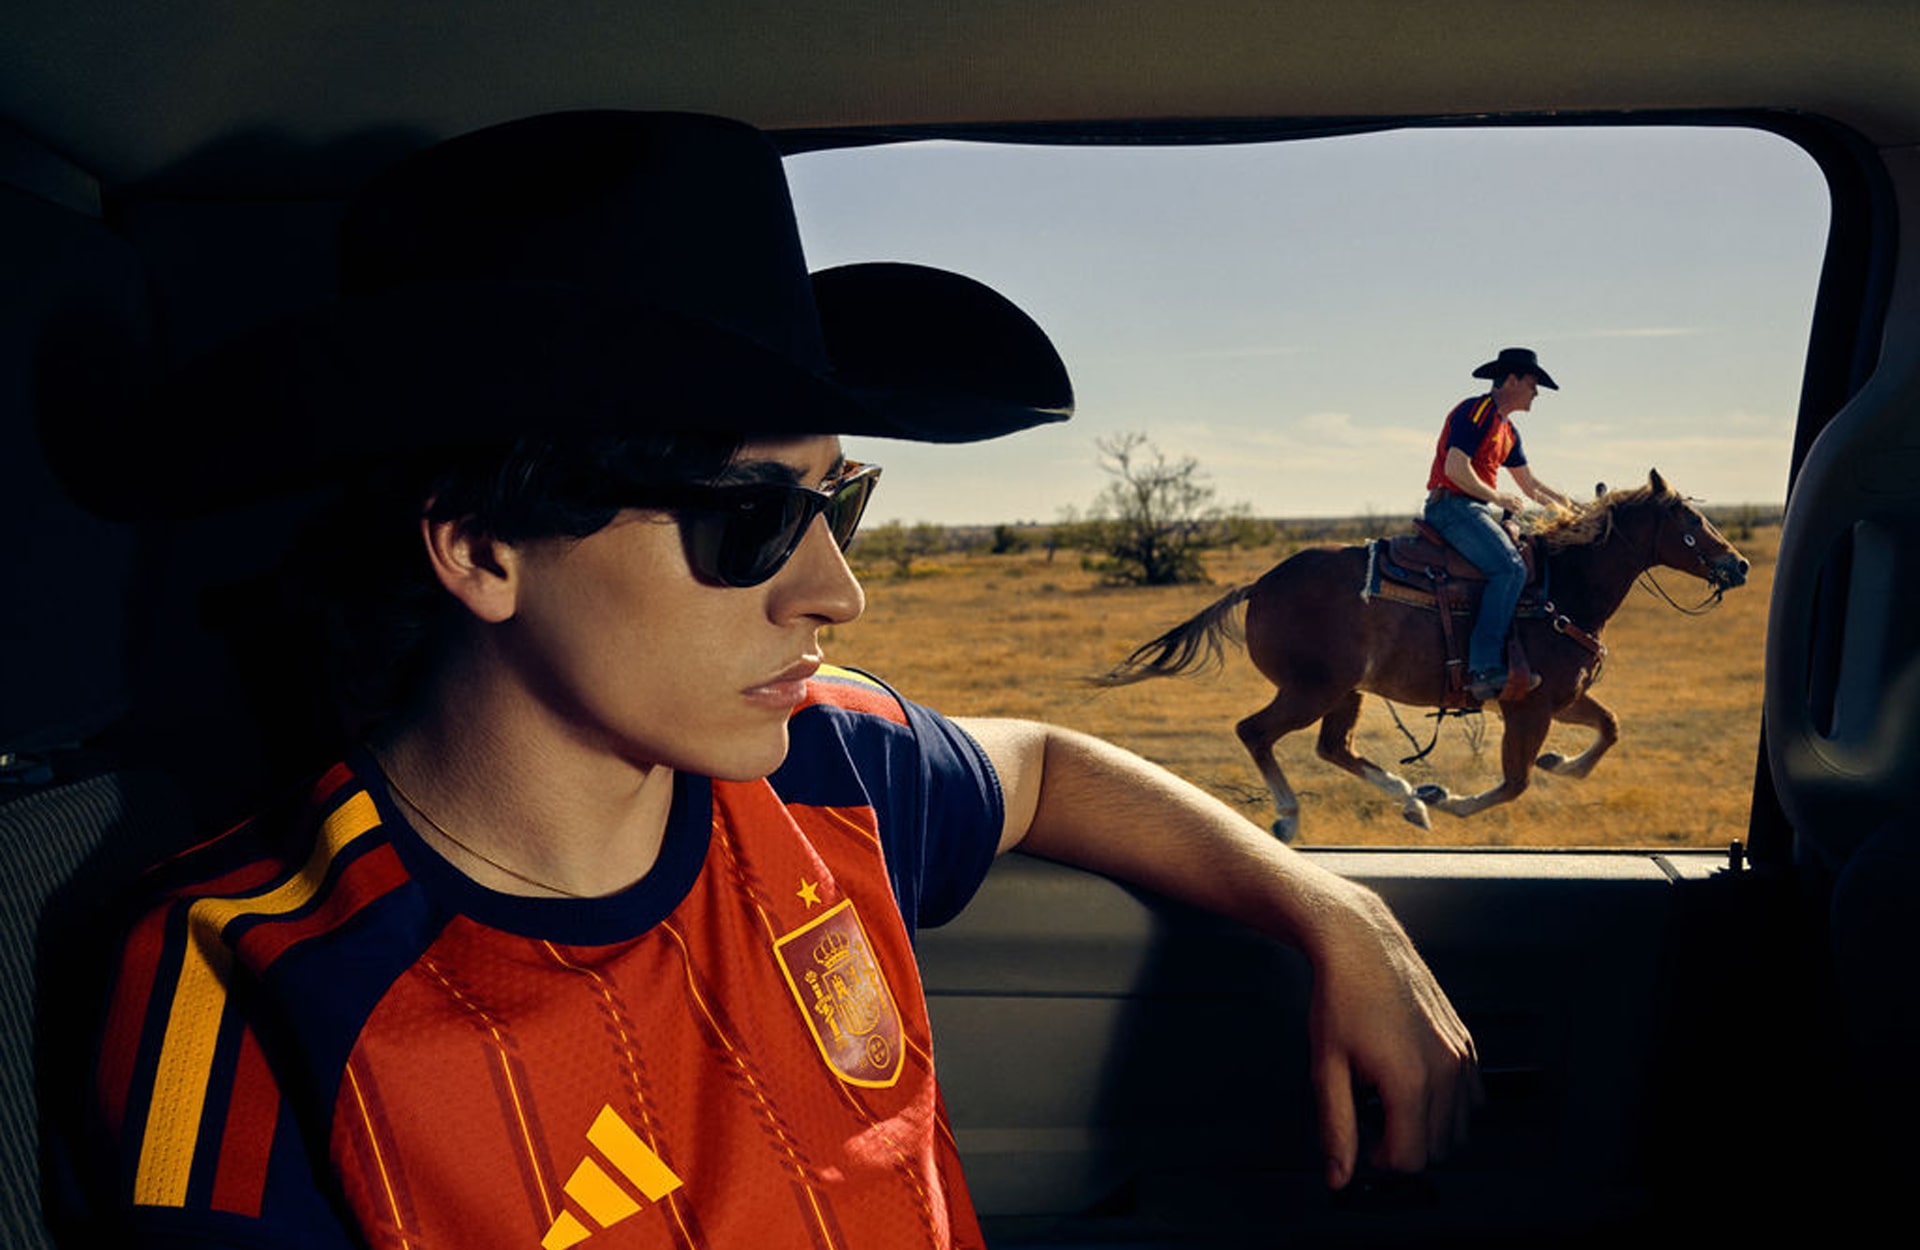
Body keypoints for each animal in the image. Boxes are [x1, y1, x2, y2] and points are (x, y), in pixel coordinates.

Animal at [1096, 470, 1751, 841]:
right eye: (1691, 518)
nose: (1738, 564)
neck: (1561, 586)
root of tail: (1260, 584)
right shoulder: (1529, 708)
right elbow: (1514, 783)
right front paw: (1455, 799)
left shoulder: (1564, 700)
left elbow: (1608, 729)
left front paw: (1559, 764)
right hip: (1311, 689)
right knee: (1256, 732)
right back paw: (1293, 814)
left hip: (1345, 692)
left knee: (1334, 747)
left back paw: (1410, 802)